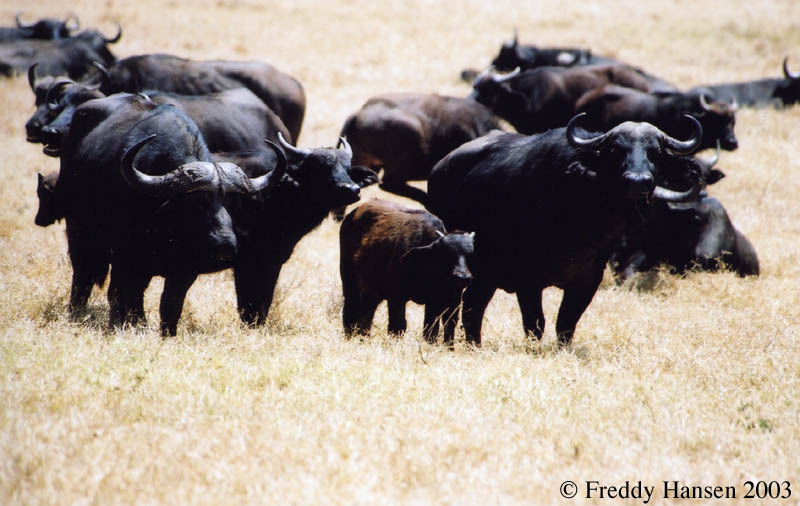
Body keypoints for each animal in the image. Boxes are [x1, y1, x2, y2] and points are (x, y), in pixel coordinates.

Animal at [339, 198, 474, 345]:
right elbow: (398, 325)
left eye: (470, 254)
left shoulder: (444, 299)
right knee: (351, 309)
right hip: (350, 282)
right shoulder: (396, 296)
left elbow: (435, 327)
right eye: (447, 254)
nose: (462, 277)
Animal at [427, 113, 704, 345]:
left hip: (486, 275)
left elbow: (566, 324)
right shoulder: (528, 281)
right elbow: (536, 324)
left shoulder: (587, 281)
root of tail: (440, 168)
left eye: (655, 152)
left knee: (473, 305)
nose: (637, 181)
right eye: (616, 150)